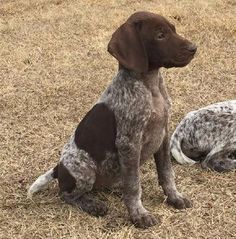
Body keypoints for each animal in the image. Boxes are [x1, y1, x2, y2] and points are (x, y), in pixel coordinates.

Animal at [28, 11, 197, 228]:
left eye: (174, 29)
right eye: (160, 36)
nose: (194, 48)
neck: (150, 87)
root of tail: (59, 168)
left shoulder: (163, 135)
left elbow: (166, 173)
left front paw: (174, 197)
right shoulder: (129, 143)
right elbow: (134, 186)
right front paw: (138, 214)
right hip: (83, 169)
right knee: (66, 194)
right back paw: (93, 204)